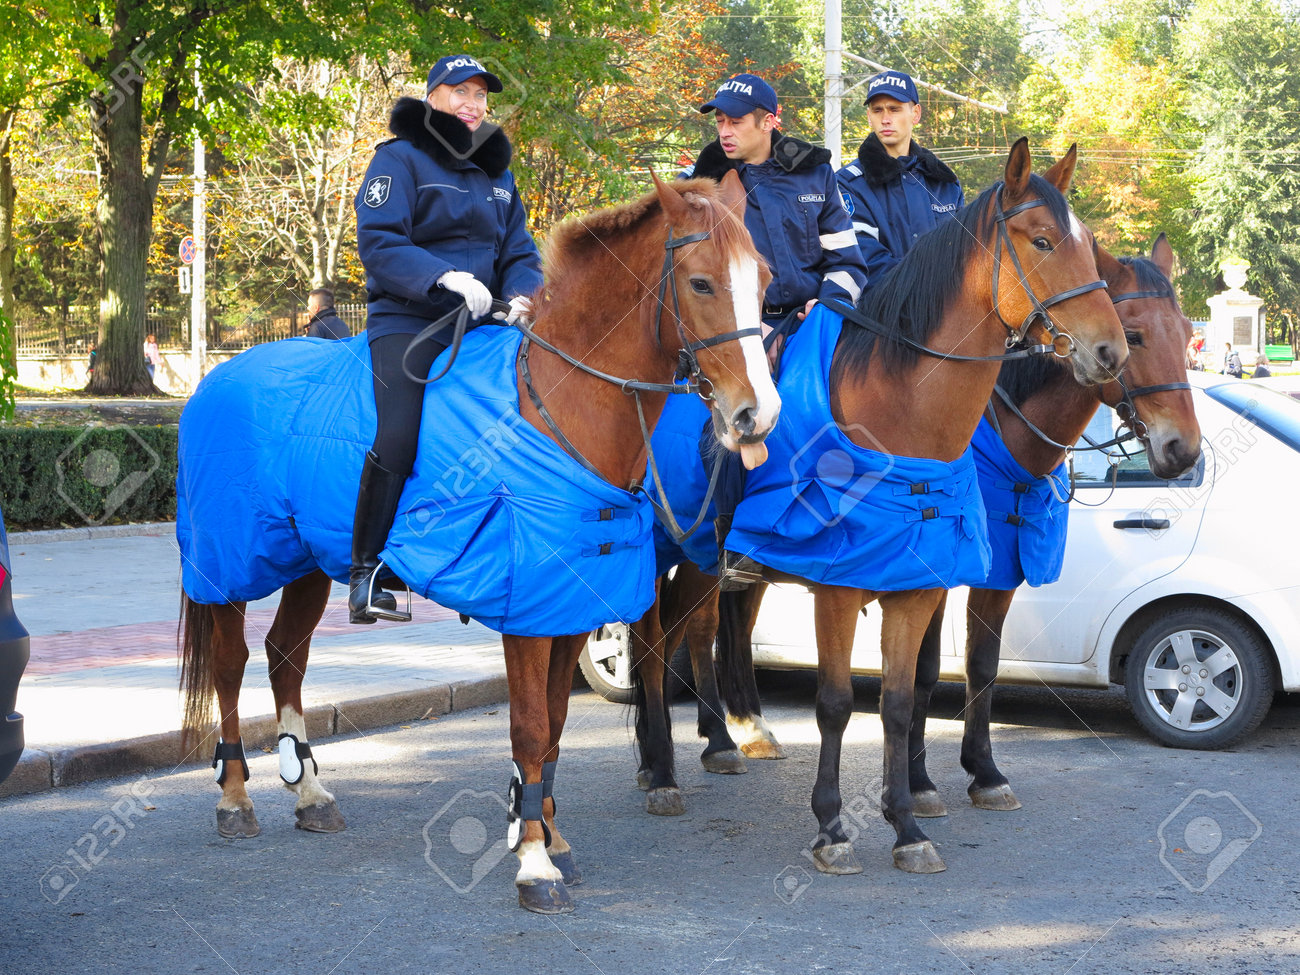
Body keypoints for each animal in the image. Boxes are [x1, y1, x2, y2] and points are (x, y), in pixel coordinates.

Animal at [176, 170, 781, 915]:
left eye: (763, 278)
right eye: (700, 282)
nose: (758, 415)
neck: (553, 409)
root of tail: (218, 378)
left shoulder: (567, 608)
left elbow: (554, 725)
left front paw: (548, 834)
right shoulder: (525, 614)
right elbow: (529, 726)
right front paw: (534, 862)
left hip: (311, 563)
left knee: (285, 656)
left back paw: (311, 791)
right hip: (228, 563)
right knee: (231, 663)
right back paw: (234, 798)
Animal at [631, 139, 1128, 877]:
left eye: (1089, 248)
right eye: (1041, 241)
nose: (1109, 350)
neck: (902, 420)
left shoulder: (915, 587)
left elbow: (897, 702)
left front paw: (906, 823)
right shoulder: (836, 587)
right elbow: (836, 704)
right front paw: (831, 826)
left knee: (688, 631)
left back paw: (708, 744)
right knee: (652, 640)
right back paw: (663, 770)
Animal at [904, 234, 1202, 818]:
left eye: (1185, 333)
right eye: (1134, 335)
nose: (1184, 449)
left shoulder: (1000, 577)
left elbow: (983, 665)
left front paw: (984, 771)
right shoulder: (931, 577)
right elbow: (920, 670)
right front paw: (917, 782)